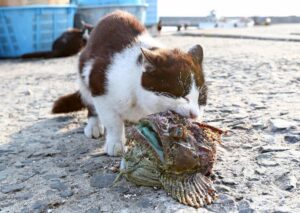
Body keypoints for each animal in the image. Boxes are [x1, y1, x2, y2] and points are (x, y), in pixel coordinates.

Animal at [51, 10, 207, 156]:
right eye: (181, 94)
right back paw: (94, 125)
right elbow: (112, 120)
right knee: (89, 101)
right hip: (83, 71)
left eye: (201, 98)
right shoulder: (98, 80)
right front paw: (115, 143)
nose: (194, 114)